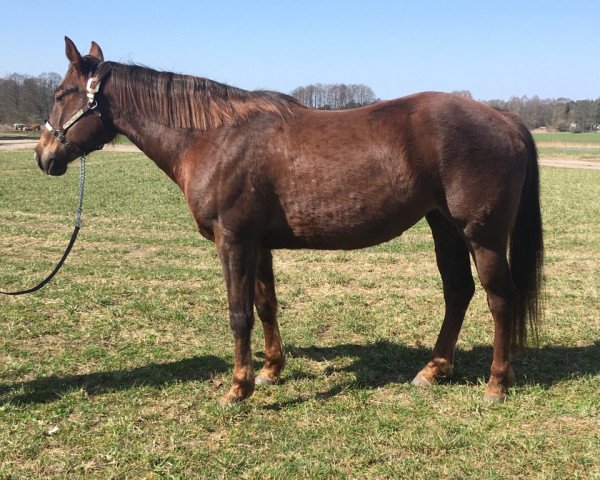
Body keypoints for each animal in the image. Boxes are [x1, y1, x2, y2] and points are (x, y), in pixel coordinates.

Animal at [35, 38, 548, 404]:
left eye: (61, 94)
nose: (44, 156)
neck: (215, 138)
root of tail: (502, 118)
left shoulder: (233, 240)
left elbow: (238, 312)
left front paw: (238, 388)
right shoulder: (257, 243)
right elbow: (266, 305)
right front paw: (269, 371)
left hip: (481, 235)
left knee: (499, 299)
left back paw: (496, 384)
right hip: (444, 226)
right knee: (457, 291)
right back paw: (433, 370)